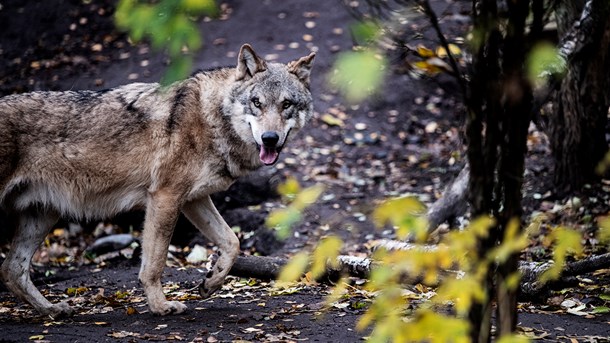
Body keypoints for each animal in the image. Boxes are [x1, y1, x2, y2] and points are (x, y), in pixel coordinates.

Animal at [0, 44, 314, 318]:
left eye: (286, 104)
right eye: (257, 103)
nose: (269, 138)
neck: (211, 118)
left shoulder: (193, 199)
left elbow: (232, 242)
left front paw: (211, 283)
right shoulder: (164, 196)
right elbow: (154, 264)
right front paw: (160, 307)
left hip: (43, 215)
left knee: (12, 269)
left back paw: (52, 310)